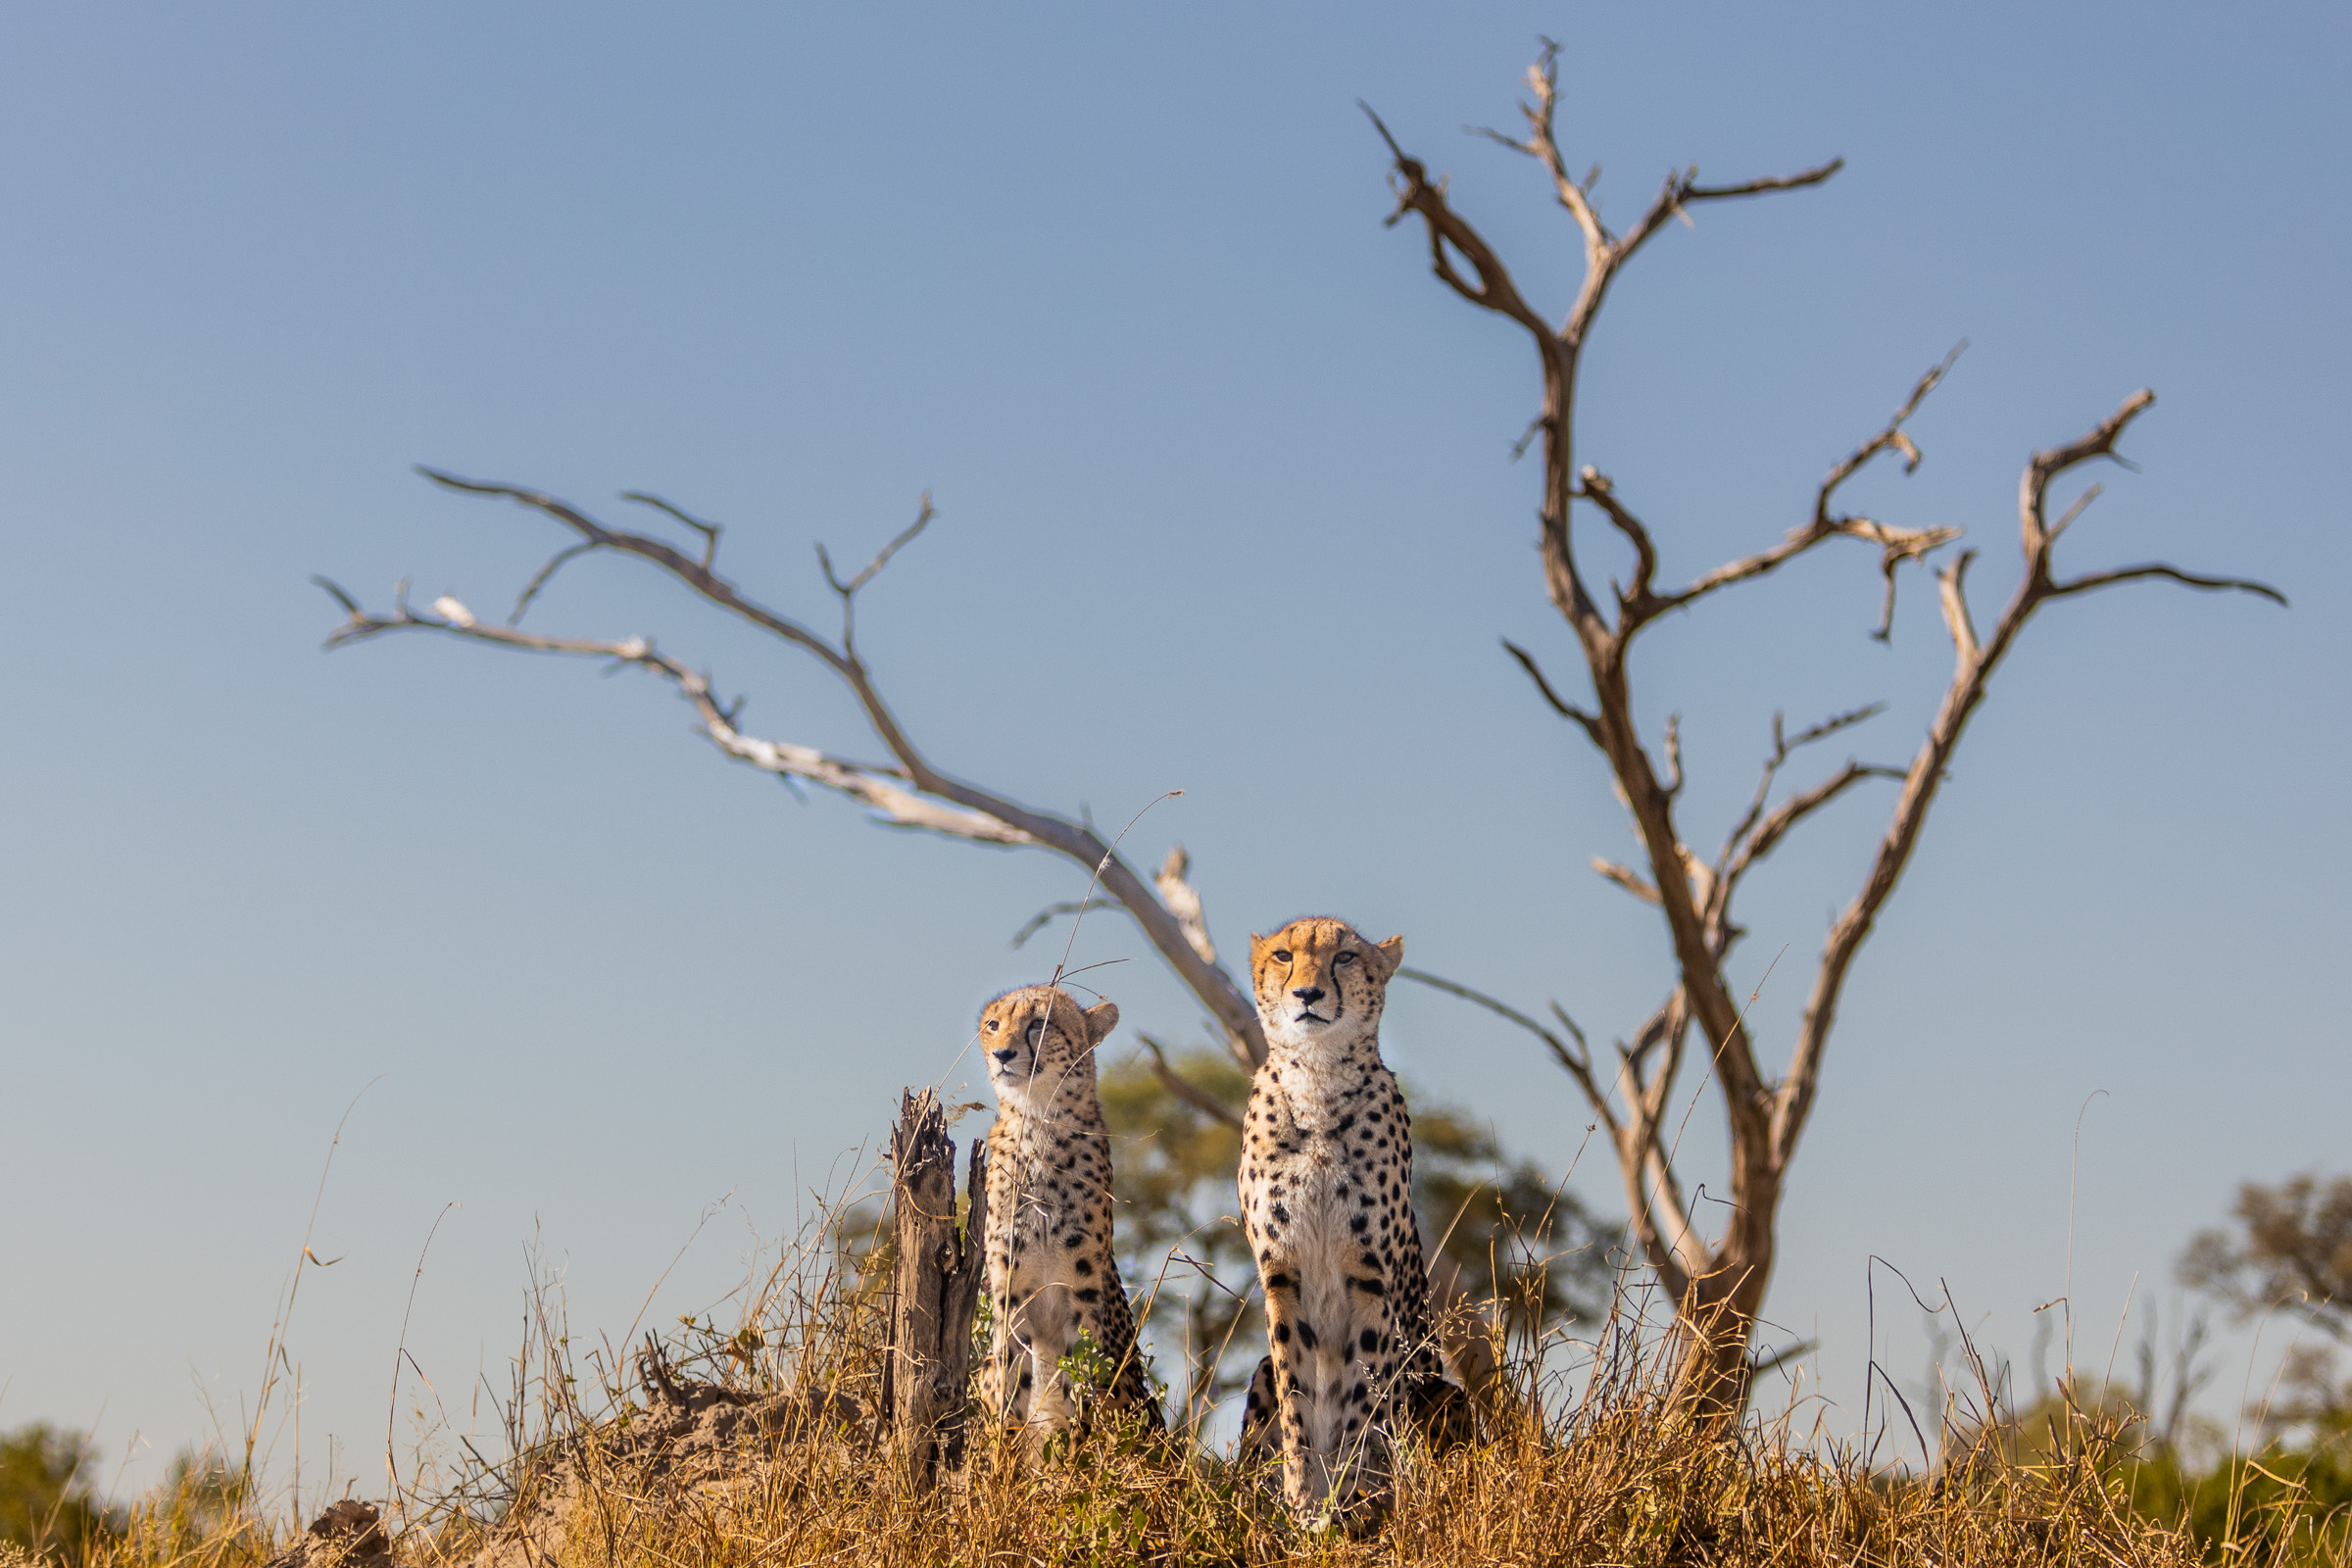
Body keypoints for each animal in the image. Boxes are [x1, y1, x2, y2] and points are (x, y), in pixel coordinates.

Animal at [973, 984, 1163, 1445]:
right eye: (994, 1025)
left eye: (1039, 1023)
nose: (1002, 1054)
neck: (1038, 1122)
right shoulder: (1010, 1296)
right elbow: (1009, 1392)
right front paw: (1003, 1462)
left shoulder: (1083, 1297)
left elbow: (1081, 1385)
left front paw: (1078, 1458)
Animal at [1233, 916, 1466, 1517]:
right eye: (1284, 955)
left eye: (1344, 957)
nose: (1307, 994)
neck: (1317, 1083)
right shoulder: (1282, 1277)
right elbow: (1296, 1392)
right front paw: (1302, 1499)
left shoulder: (1370, 1281)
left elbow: (1367, 1392)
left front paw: (1360, 1493)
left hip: (1442, 1390)